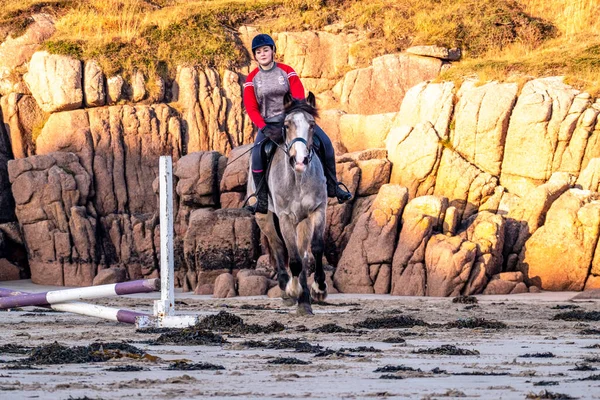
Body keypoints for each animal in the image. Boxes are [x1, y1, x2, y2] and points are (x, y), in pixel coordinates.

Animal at [248, 92, 330, 314]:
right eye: (286, 124)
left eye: (312, 125)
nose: (300, 161)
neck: (298, 178)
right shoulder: (285, 217)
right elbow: (292, 258)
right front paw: (293, 290)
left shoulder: (317, 210)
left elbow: (316, 248)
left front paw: (319, 288)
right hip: (265, 218)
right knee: (278, 247)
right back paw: (288, 289)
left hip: (302, 221)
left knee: (303, 254)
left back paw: (305, 301)